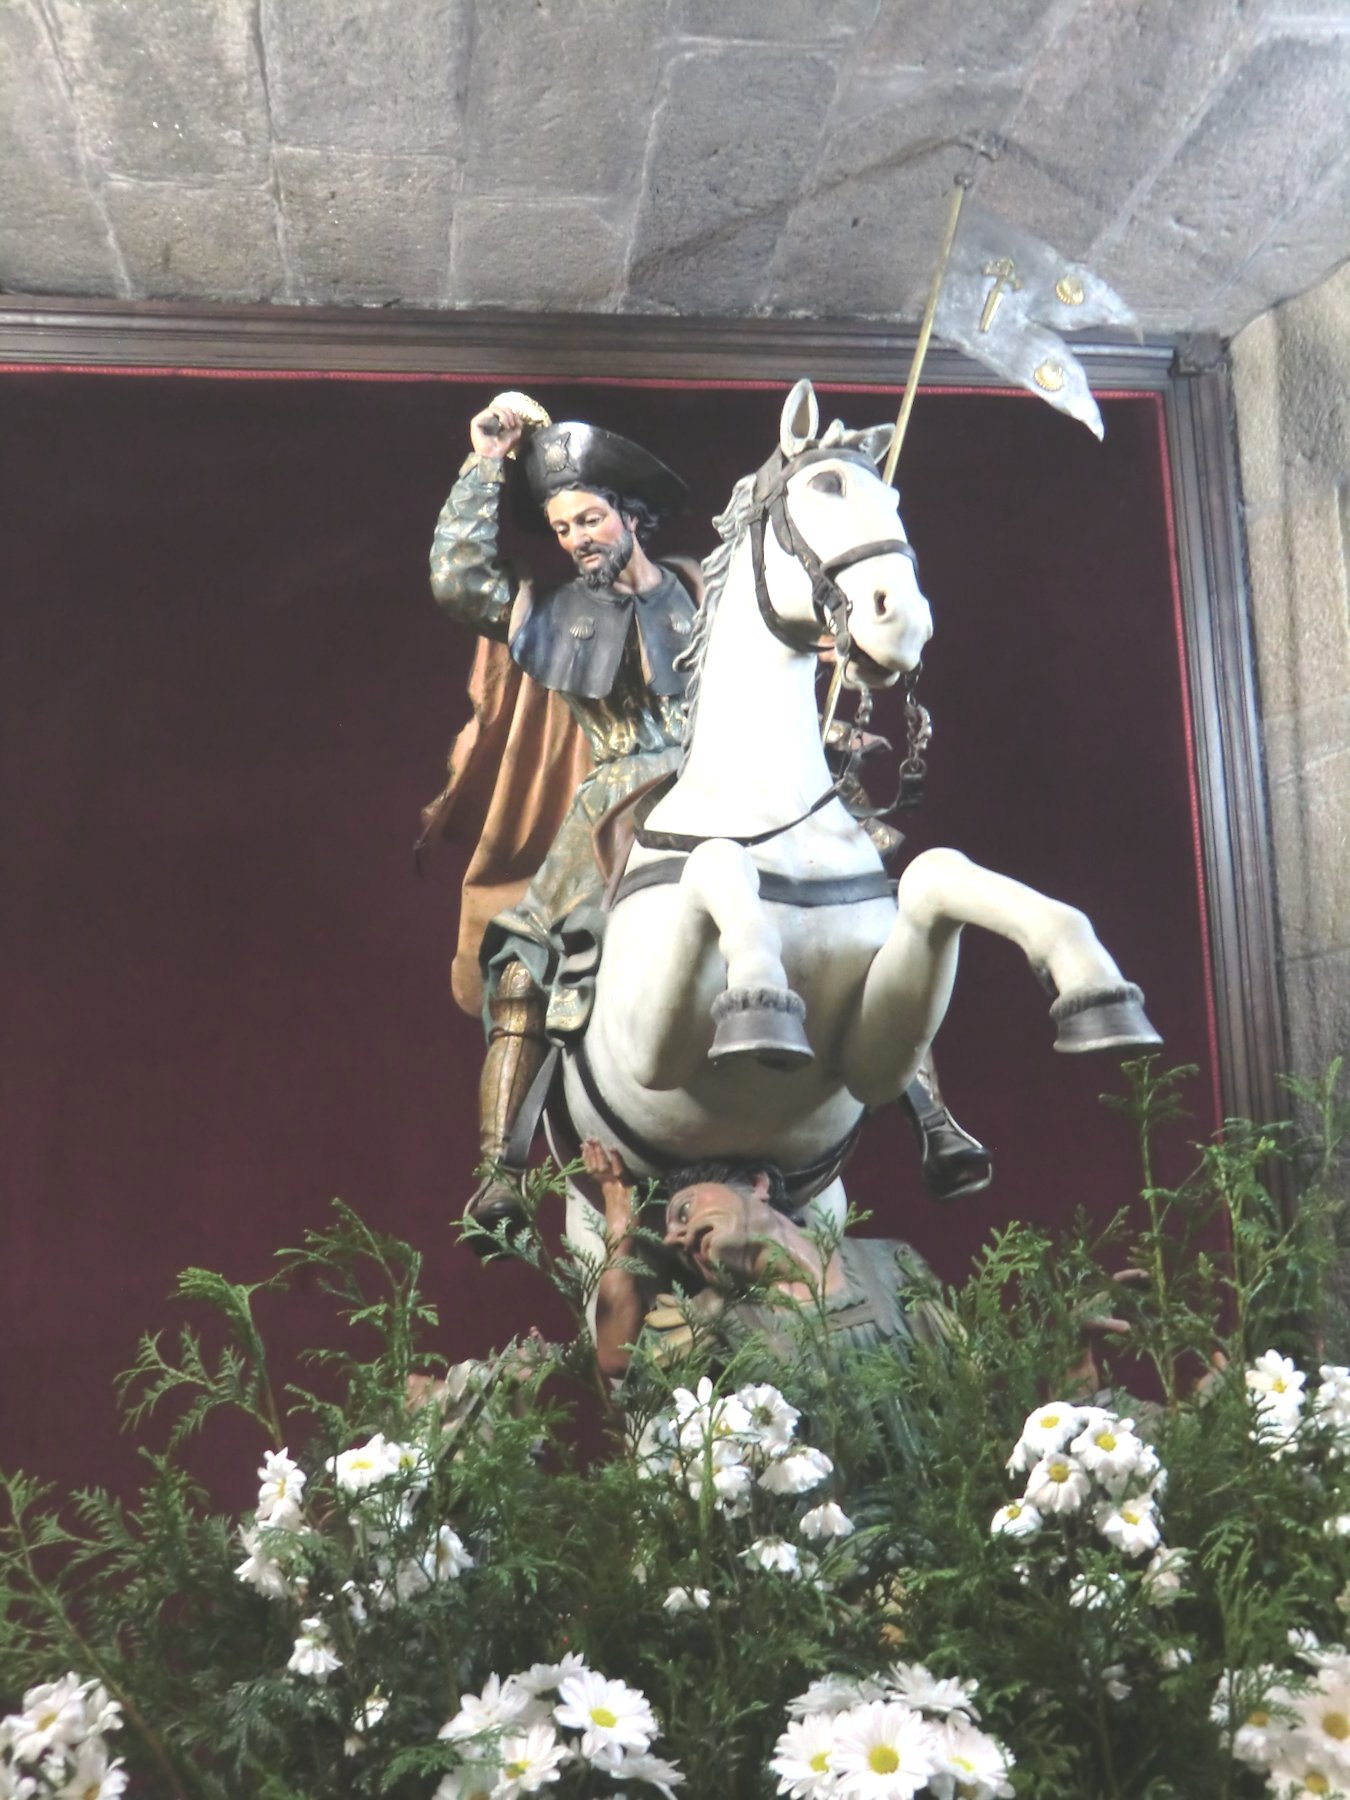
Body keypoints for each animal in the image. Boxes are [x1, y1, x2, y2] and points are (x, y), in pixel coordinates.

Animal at [554, 378, 1159, 1245]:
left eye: (893, 497)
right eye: (828, 486)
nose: (900, 619)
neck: (778, 821)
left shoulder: (873, 1050)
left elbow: (942, 873)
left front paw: (1096, 989)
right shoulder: (643, 1049)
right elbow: (719, 864)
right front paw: (762, 1004)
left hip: (823, 1209)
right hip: (592, 1221)